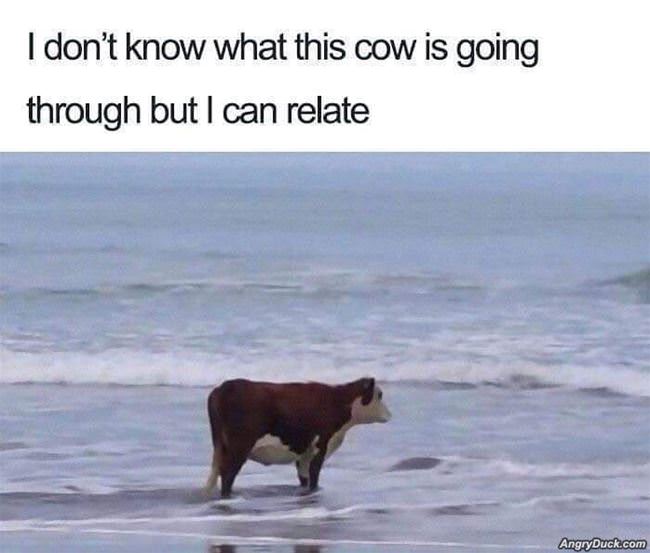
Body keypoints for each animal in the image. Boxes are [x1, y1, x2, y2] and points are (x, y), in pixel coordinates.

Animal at [204, 377, 391, 497]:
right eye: (379, 394)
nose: (389, 414)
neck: (336, 401)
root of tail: (222, 388)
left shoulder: (304, 453)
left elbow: (304, 477)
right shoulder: (320, 446)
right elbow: (313, 475)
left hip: (221, 446)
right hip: (239, 447)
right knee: (227, 475)